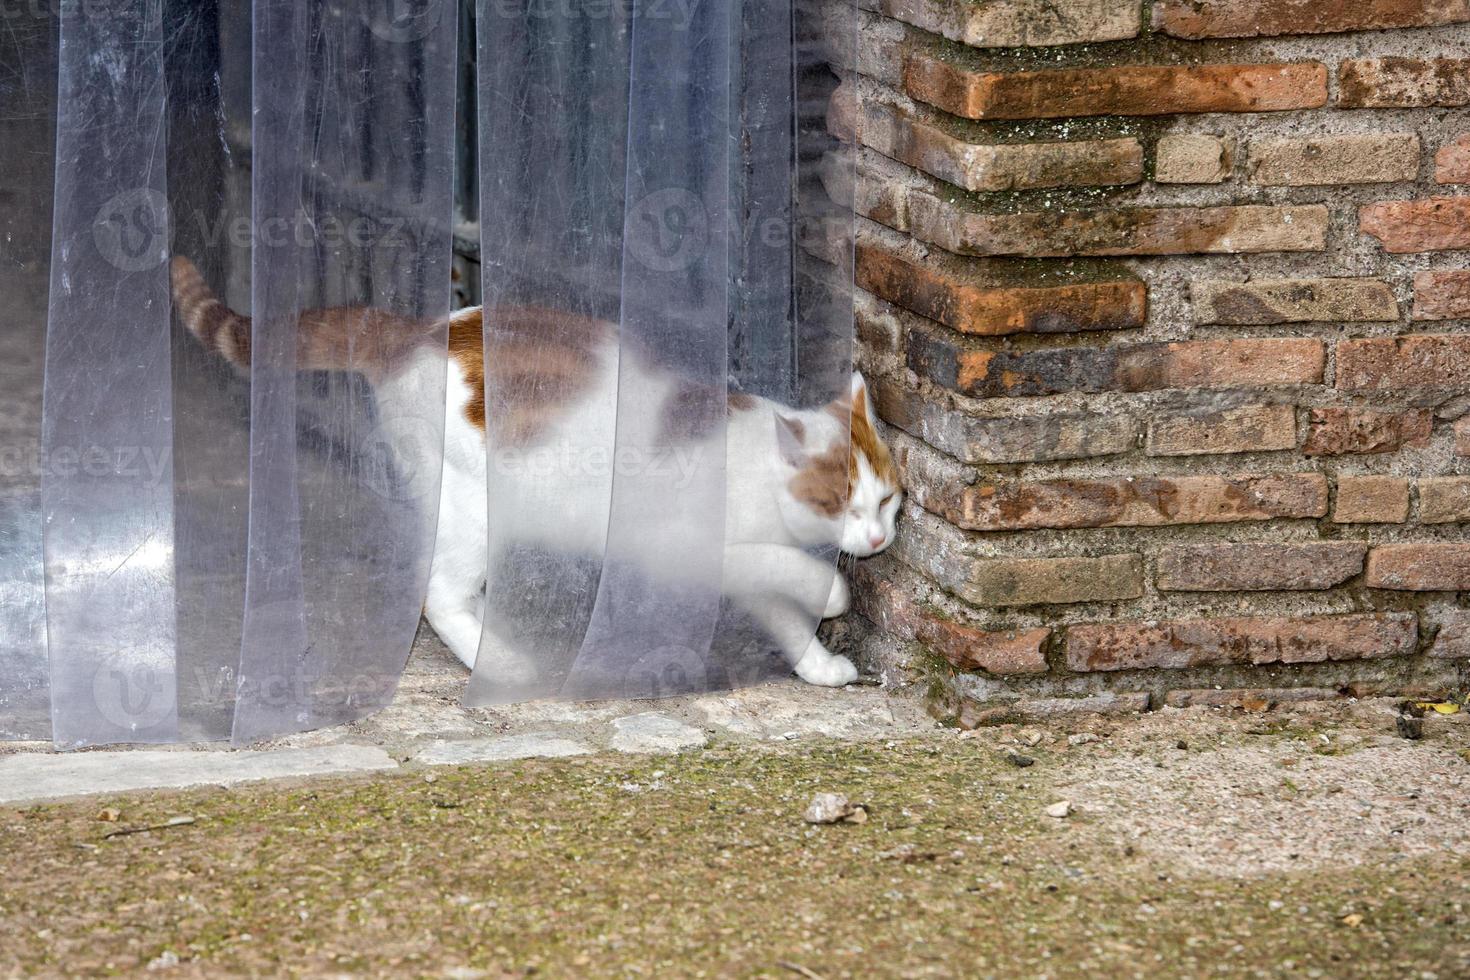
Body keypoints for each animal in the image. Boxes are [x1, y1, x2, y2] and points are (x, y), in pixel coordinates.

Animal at [174, 260, 905, 690]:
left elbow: (781, 608)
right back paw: (499, 660)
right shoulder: (682, 545)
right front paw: (834, 596)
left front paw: (819, 664)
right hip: (476, 504)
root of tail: (414, 331)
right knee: (436, 593)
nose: (877, 541)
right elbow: (796, 576)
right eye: (842, 502)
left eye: (889, 501)